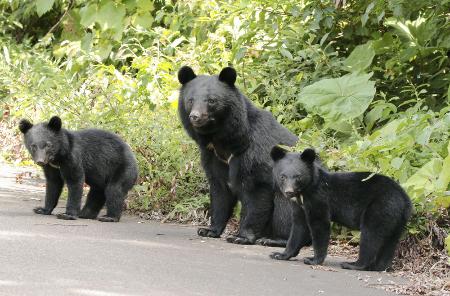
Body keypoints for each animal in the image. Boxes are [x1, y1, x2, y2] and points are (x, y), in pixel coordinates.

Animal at [178, 66, 312, 246]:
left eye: (211, 100)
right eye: (190, 100)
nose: (195, 116)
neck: (224, 140)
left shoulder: (254, 153)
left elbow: (256, 191)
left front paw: (241, 236)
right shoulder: (212, 156)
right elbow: (220, 190)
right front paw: (209, 230)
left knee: (286, 208)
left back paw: (275, 239)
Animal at [268, 147, 414, 272]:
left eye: (298, 176)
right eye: (282, 176)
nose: (289, 192)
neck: (304, 193)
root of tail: (405, 199)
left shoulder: (319, 199)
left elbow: (319, 225)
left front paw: (313, 259)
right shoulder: (300, 206)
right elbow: (299, 227)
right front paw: (280, 254)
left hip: (380, 207)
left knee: (370, 236)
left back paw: (354, 264)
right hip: (396, 218)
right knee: (390, 242)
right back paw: (379, 266)